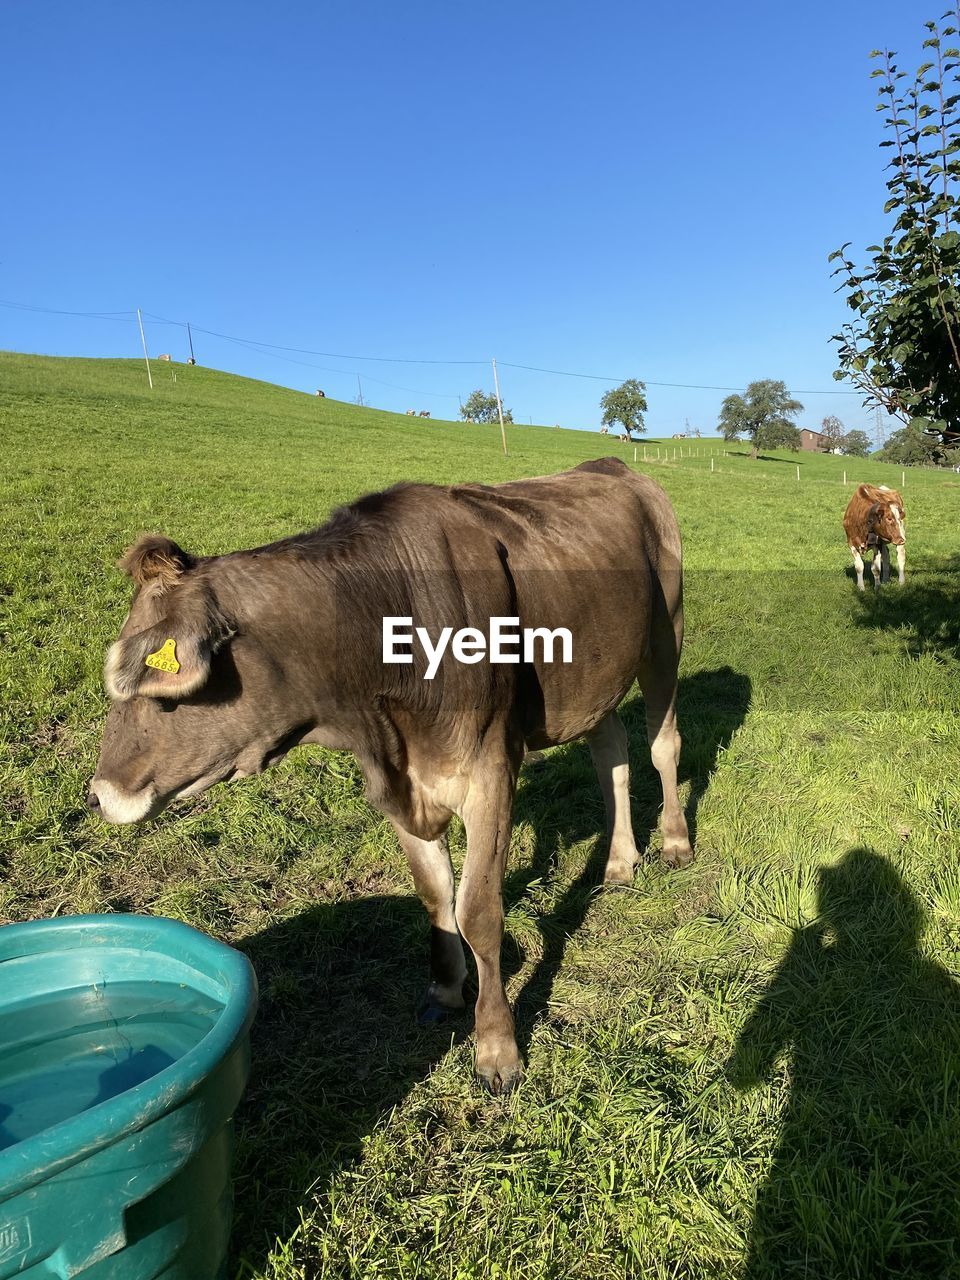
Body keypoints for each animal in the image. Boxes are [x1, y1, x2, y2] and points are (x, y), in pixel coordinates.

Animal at [88, 458, 691, 1090]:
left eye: (161, 691)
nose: (100, 795)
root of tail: (612, 465)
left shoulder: (491, 774)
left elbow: (478, 913)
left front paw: (497, 1047)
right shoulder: (401, 785)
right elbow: (436, 897)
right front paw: (445, 991)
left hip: (665, 635)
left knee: (662, 746)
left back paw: (674, 843)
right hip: (595, 681)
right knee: (611, 752)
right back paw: (620, 861)